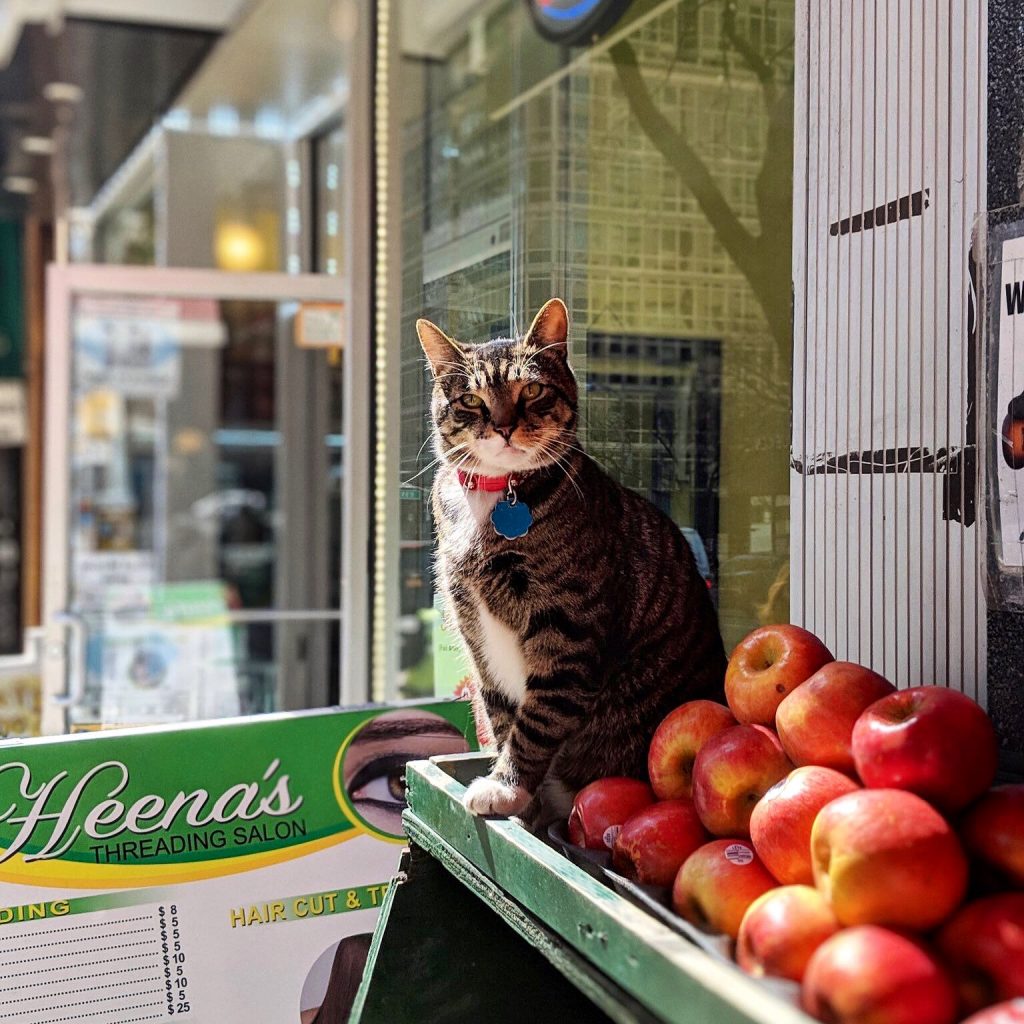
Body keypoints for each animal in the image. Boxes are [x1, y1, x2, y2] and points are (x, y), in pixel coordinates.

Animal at [417, 296, 729, 823]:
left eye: (533, 389)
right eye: (470, 400)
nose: (503, 426)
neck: (498, 497)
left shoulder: (568, 630)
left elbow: (537, 720)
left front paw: (506, 786)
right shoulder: (474, 632)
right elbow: (502, 715)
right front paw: (523, 807)